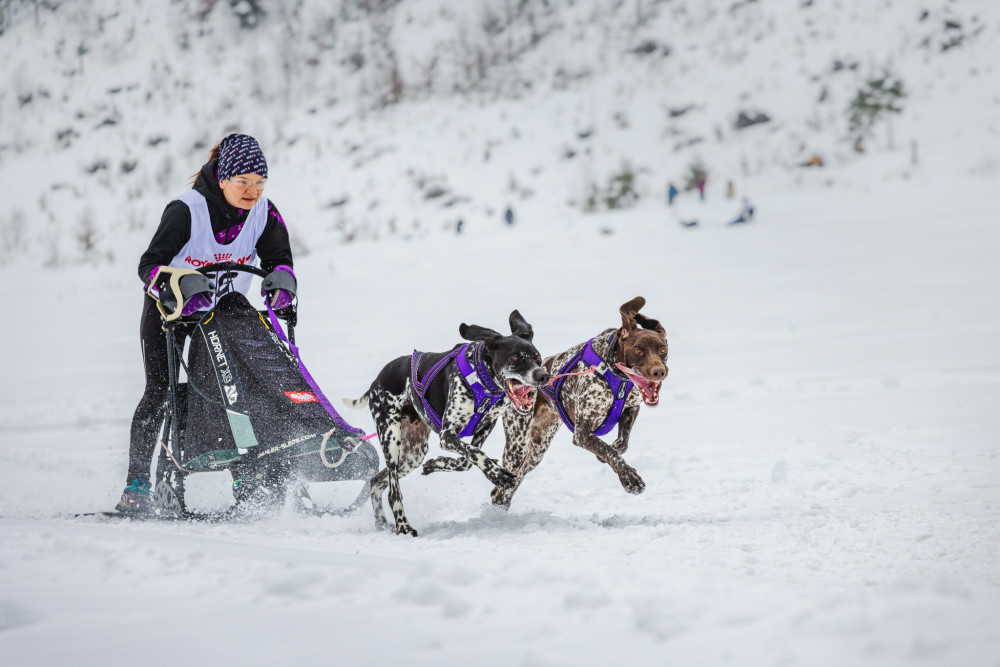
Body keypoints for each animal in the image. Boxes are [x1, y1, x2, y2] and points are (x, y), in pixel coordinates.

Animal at [342, 312, 548, 536]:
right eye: (516, 357)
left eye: (538, 359)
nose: (543, 375)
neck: (483, 379)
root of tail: (377, 380)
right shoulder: (447, 435)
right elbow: (475, 453)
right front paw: (496, 474)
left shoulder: (485, 427)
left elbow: (467, 460)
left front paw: (437, 464)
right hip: (391, 439)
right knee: (393, 491)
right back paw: (403, 526)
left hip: (413, 454)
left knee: (376, 482)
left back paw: (381, 521)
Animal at [490, 294, 668, 508]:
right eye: (638, 350)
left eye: (663, 349)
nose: (658, 372)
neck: (614, 372)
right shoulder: (582, 432)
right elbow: (609, 451)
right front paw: (630, 478)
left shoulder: (631, 407)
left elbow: (620, 444)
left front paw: (608, 454)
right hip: (517, 443)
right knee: (502, 484)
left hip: (537, 448)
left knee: (515, 479)